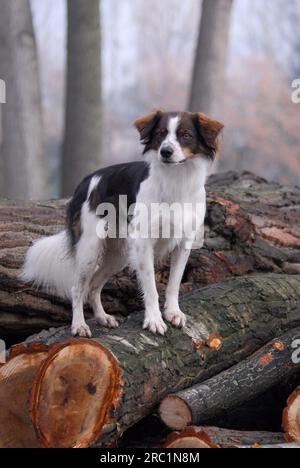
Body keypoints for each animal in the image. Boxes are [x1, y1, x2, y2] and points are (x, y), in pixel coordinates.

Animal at [21, 109, 223, 336]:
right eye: (160, 134)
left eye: (185, 135)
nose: (166, 152)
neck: (176, 179)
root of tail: (86, 181)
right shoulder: (144, 243)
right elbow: (151, 287)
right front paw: (154, 320)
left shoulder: (183, 243)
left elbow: (174, 284)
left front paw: (173, 313)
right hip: (90, 250)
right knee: (78, 288)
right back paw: (79, 324)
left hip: (117, 255)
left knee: (94, 285)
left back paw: (102, 317)